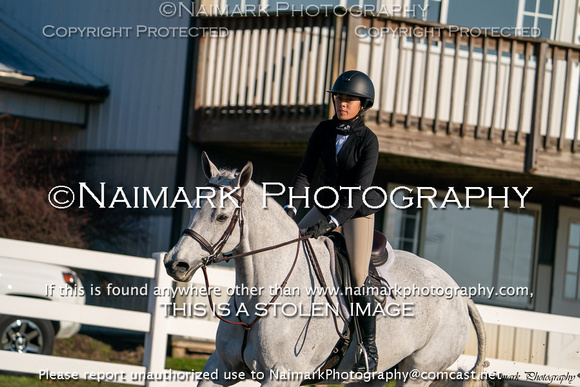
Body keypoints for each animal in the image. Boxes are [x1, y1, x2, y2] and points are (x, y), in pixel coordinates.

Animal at [165, 153, 488, 386]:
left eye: (221, 217)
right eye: (193, 207)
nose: (175, 263)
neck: (260, 294)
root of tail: (460, 295)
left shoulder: (282, 376)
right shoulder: (220, 368)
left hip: (417, 374)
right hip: (374, 377)